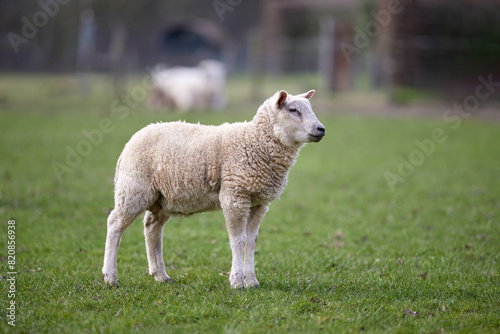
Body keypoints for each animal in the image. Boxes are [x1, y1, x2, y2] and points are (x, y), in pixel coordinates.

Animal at [103, 90, 326, 288]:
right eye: (293, 110)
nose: (321, 129)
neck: (255, 142)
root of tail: (133, 139)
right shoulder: (234, 196)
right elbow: (238, 240)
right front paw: (237, 282)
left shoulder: (259, 202)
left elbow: (251, 241)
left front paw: (252, 281)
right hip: (133, 189)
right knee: (115, 224)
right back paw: (110, 277)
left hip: (162, 198)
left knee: (152, 227)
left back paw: (160, 275)